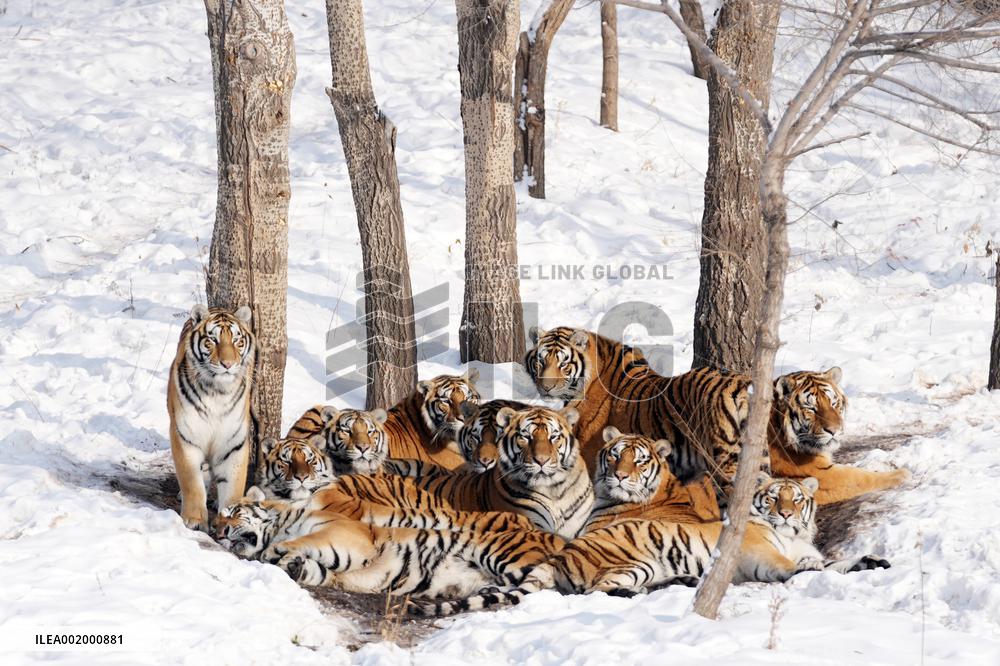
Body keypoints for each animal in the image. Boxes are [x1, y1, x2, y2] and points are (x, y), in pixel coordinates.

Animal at [167, 304, 255, 532]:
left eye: (237, 341)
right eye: (212, 340)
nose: (228, 364)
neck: (218, 392)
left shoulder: (234, 444)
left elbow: (233, 488)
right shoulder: (186, 437)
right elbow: (192, 483)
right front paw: (194, 520)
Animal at [216, 486, 563, 598]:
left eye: (231, 513)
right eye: (216, 522)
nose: (219, 533)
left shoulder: (346, 533)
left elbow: (307, 539)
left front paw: (280, 553)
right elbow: (320, 570)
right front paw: (293, 565)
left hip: (500, 555)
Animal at [411, 475, 890, 616]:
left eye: (797, 498)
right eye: (775, 498)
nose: (788, 514)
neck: (792, 537)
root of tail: (564, 551)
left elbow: (837, 562)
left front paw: (874, 562)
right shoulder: (762, 555)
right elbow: (802, 570)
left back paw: (680, 582)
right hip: (633, 559)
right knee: (599, 589)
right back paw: (639, 593)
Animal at [525, 326, 908, 505]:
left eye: (833, 404)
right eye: (812, 407)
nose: (834, 431)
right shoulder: (812, 470)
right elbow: (859, 477)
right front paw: (903, 473)